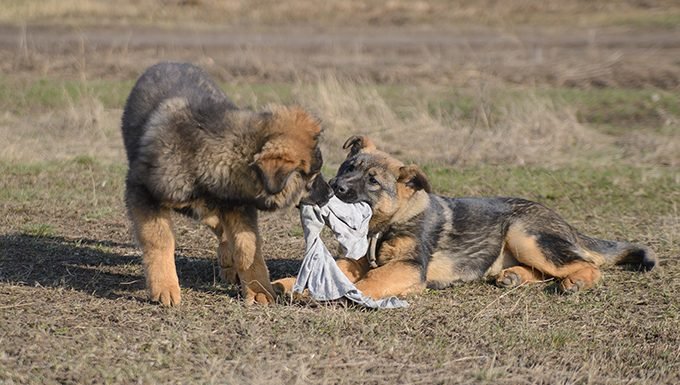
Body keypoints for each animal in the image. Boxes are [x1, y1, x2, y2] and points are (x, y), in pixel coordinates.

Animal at [125, 61, 334, 304]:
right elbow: (159, 239)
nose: (331, 193)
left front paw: (259, 290)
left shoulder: (238, 205)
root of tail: (169, 62)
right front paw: (165, 287)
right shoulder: (142, 192)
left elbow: (247, 246)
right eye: (312, 177)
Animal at [330, 136, 660, 300]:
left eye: (373, 181)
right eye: (348, 167)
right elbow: (341, 265)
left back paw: (576, 282)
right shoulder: (359, 259)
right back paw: (513, 276)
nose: (335, 186)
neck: (383, 226)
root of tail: (563, 222)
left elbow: (371, 280)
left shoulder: (410, 267)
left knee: (587, 265)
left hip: (524, 235)